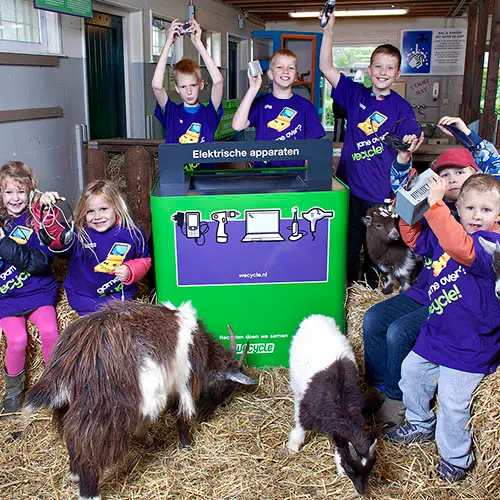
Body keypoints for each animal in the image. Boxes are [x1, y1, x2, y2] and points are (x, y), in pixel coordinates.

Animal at [23, 300, 256, 500]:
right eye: (227, 387)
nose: (223, 404)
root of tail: (75, 355)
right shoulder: (182, 383)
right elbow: (180, 417)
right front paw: (187, 444)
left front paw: (149, 441)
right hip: (103, 407)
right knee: (87, 446)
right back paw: (90, 492)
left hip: (69, 404)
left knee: (71, 438)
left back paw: (74, 474)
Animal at [288, 314, 376, 494]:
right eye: (351, 469)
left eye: (370, 469)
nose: (362, 491)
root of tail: (314, 317)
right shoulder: (307, 409)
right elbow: (301, 426)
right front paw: (293, 445)